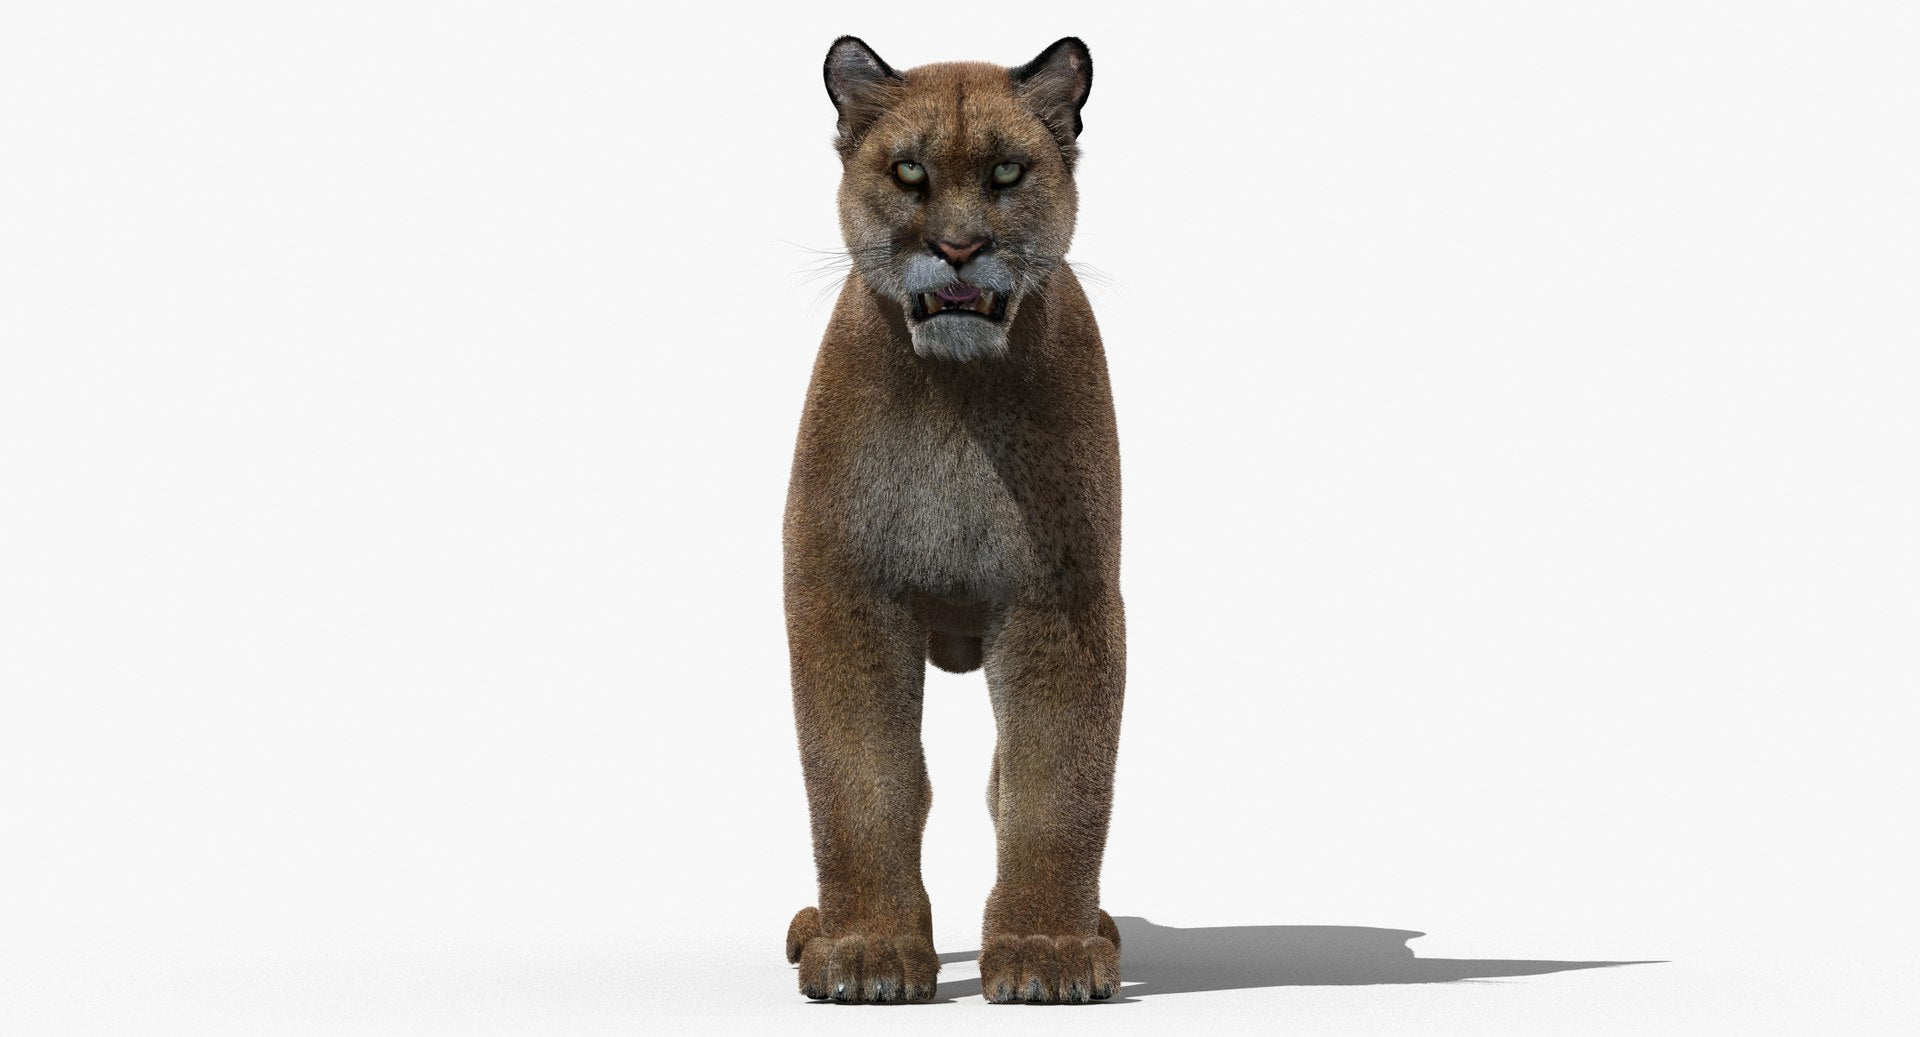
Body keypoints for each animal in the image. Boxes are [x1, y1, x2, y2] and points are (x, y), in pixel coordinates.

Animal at [782, 36, 1125, 1004]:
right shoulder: (846, 591)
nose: (960, 247)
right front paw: (867, 950)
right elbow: (863, 782)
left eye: (1008, 172)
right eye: (909, 172)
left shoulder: (1060, 599)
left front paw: (1048, 948)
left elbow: (1053, 786)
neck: (955, 397)